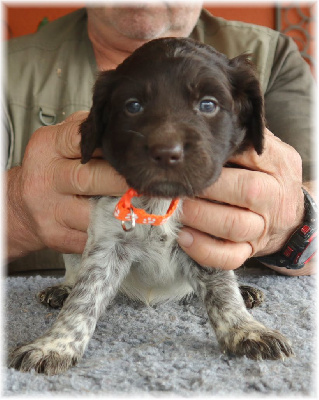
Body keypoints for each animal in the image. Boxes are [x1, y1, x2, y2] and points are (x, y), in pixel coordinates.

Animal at [10, 37, 296, 376]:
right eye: (133, 106)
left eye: (208, 104)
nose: (166, 152)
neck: (159, 199)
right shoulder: (107, 242)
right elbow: (85, 296)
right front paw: (55, 344)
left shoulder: (210, 238)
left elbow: (222, 290)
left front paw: (245, 330)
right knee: (73, 272)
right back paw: (62, 288)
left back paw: (246, 290)